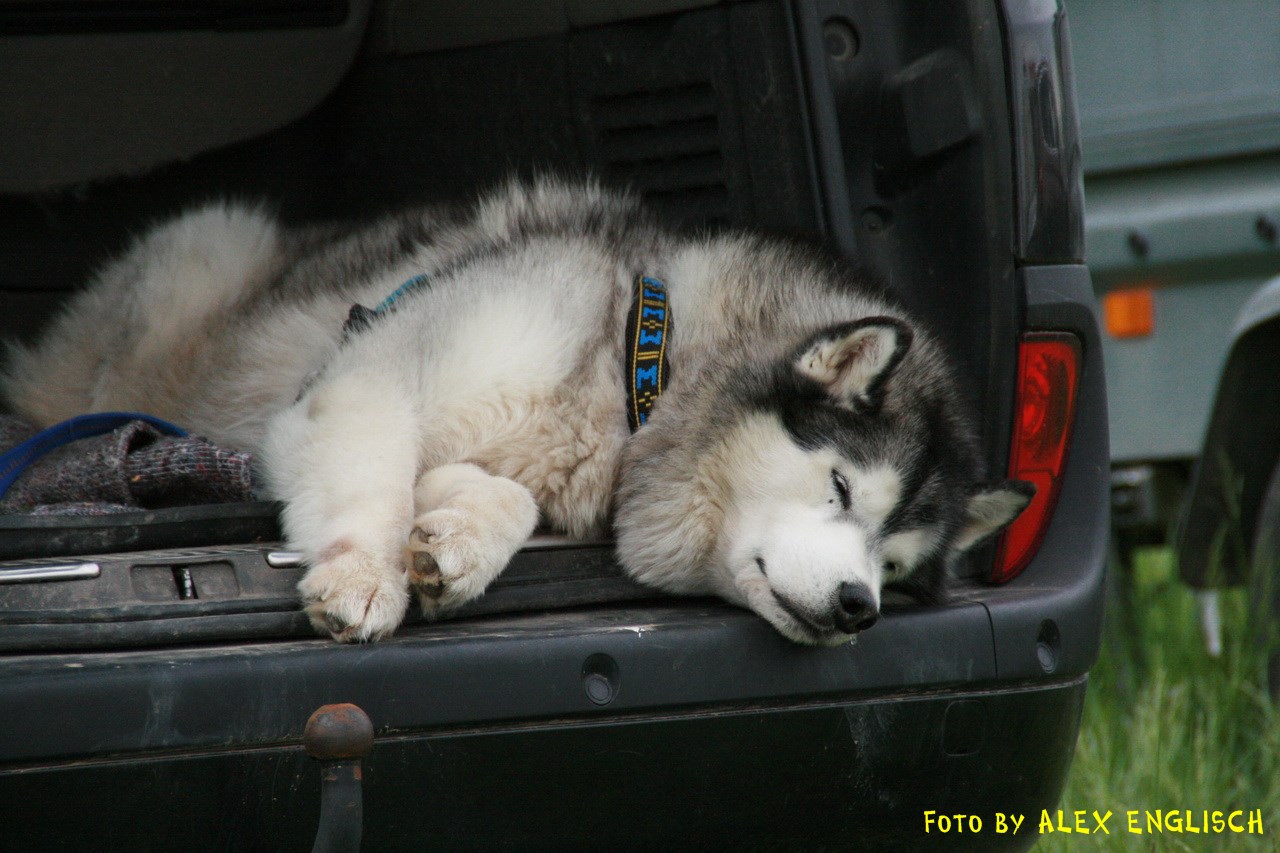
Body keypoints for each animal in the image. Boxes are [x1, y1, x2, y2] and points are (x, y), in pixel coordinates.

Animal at [1, 177, 1032, 645]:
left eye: (894, 568)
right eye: (841, 487)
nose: (861, 607)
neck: (636, 367)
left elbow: (504, 495)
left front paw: (455, 535)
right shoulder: (360, 377)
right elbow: (371, 476)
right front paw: (364, 573)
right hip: (195, 263)